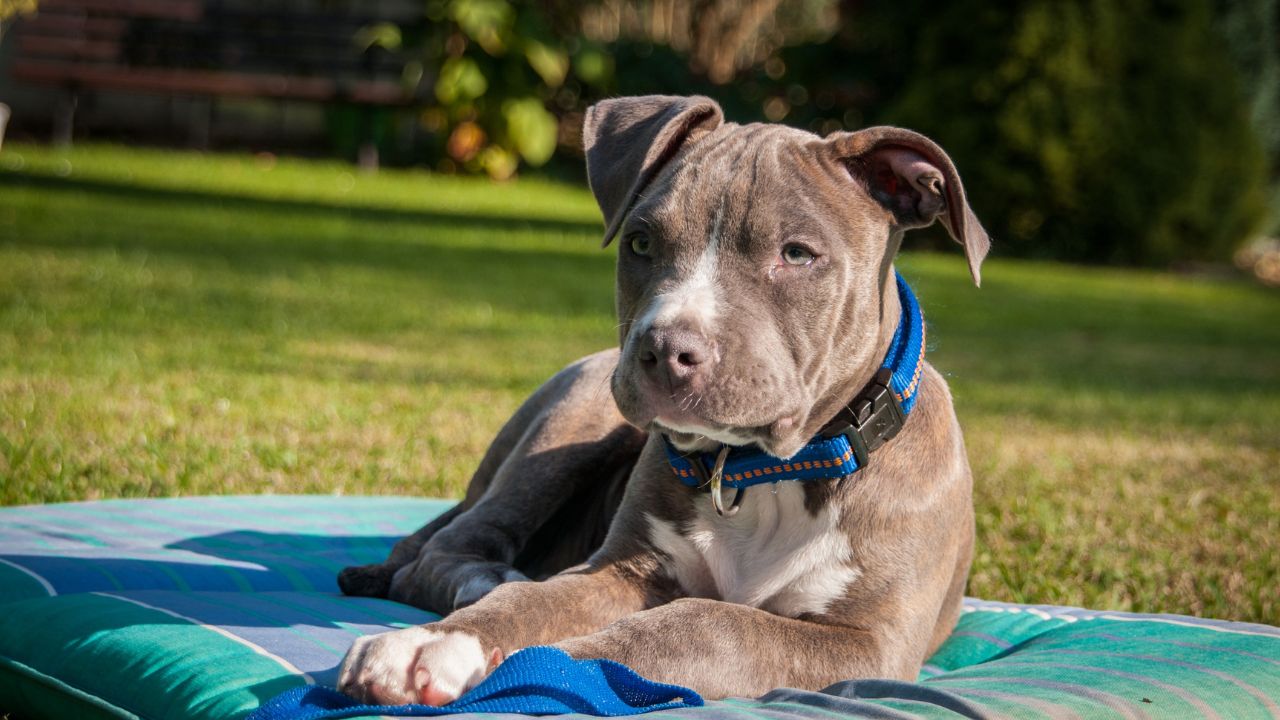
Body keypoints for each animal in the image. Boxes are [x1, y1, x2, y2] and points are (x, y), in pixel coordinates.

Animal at [332, 92, 988, 702]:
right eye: (641, 243)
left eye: (797, 254)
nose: (666, 349)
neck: (762, 473)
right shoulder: (621, 569)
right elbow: (533, 604)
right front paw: (433, 644)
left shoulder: (868, 643)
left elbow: (706, 625)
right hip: (569, 425)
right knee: (440, 554)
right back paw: (482, 581)